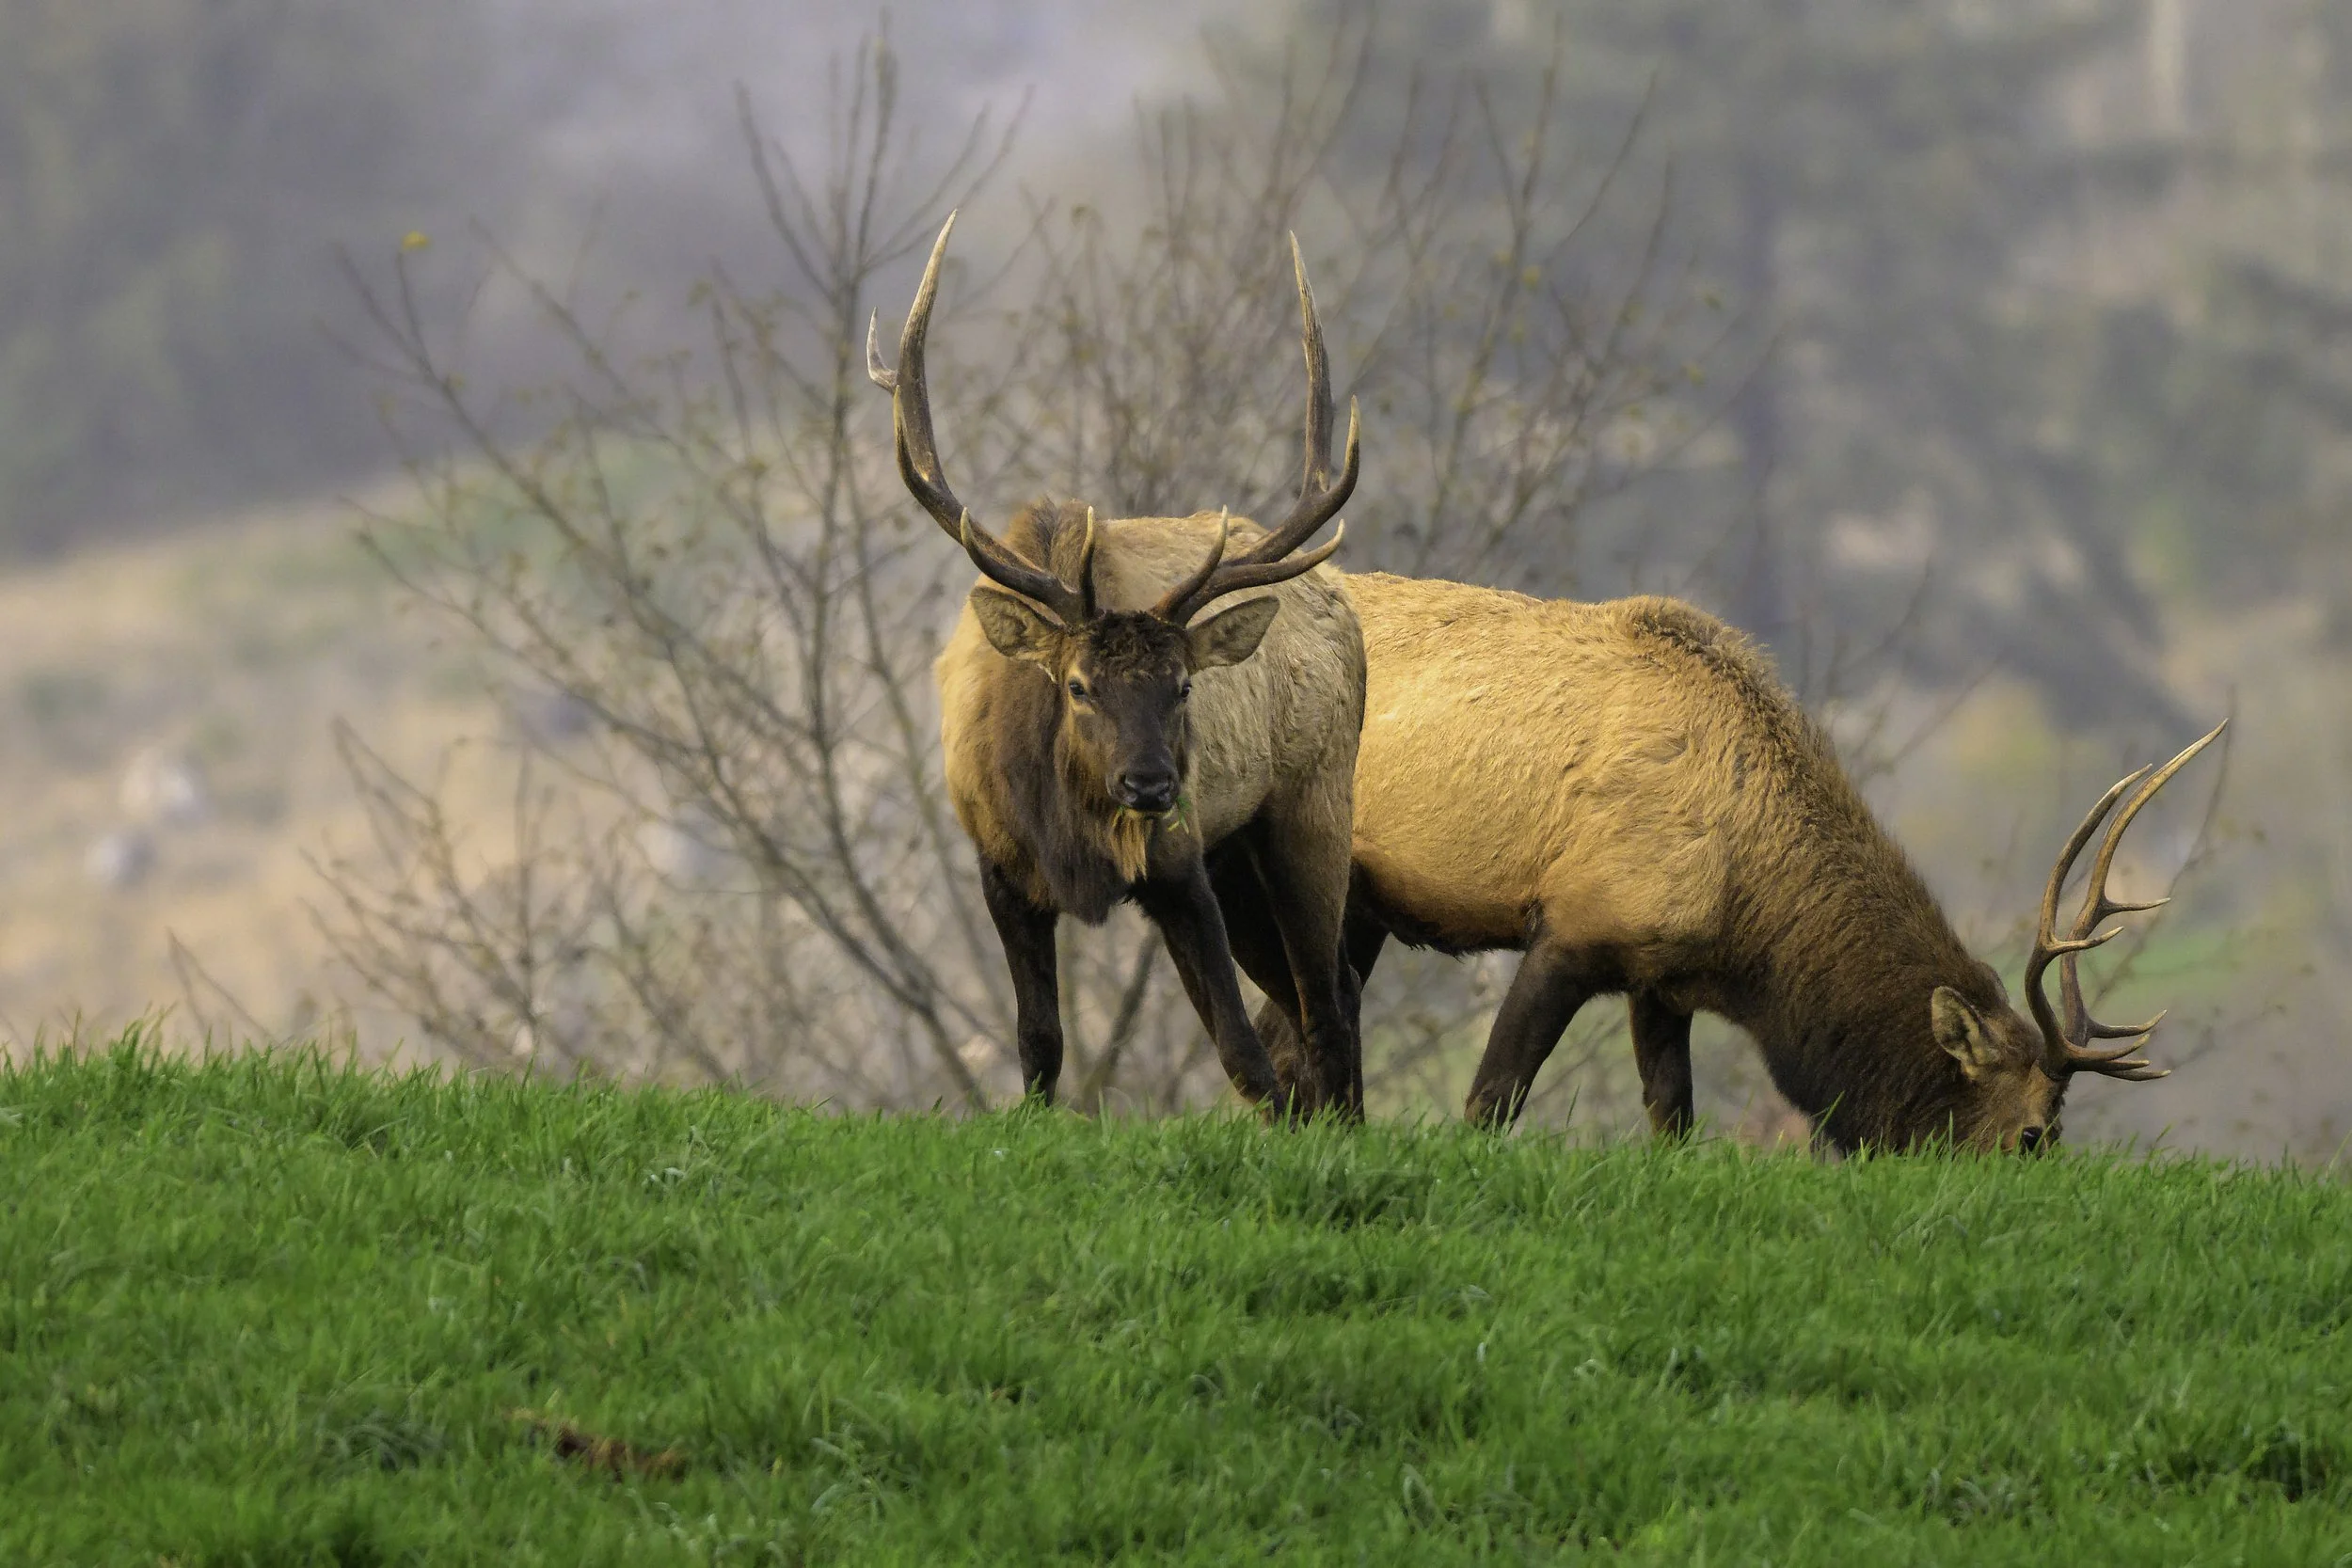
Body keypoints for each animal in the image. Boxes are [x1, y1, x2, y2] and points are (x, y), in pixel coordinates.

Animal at [870, 216, 1369, 1117]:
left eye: (1183, 685)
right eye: (1077, 686)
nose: (1150, 783)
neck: (1069, 832)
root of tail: (1343, 602)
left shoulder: (1180, 864)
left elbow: (1242, 1055)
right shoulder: (999, 867)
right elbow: (1039, 1043)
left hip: (1310, 802)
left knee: (1328, 995)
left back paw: (1345, 1125)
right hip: (1240, 856)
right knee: (1319, 991)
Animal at [1250, 575, 2224, 1152]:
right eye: (2032, 1133)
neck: (1751, 938)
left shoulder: (1658, 978)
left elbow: (1674, 1120)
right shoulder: (1575, 924)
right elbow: (1490, 1099)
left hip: (1354, 905)